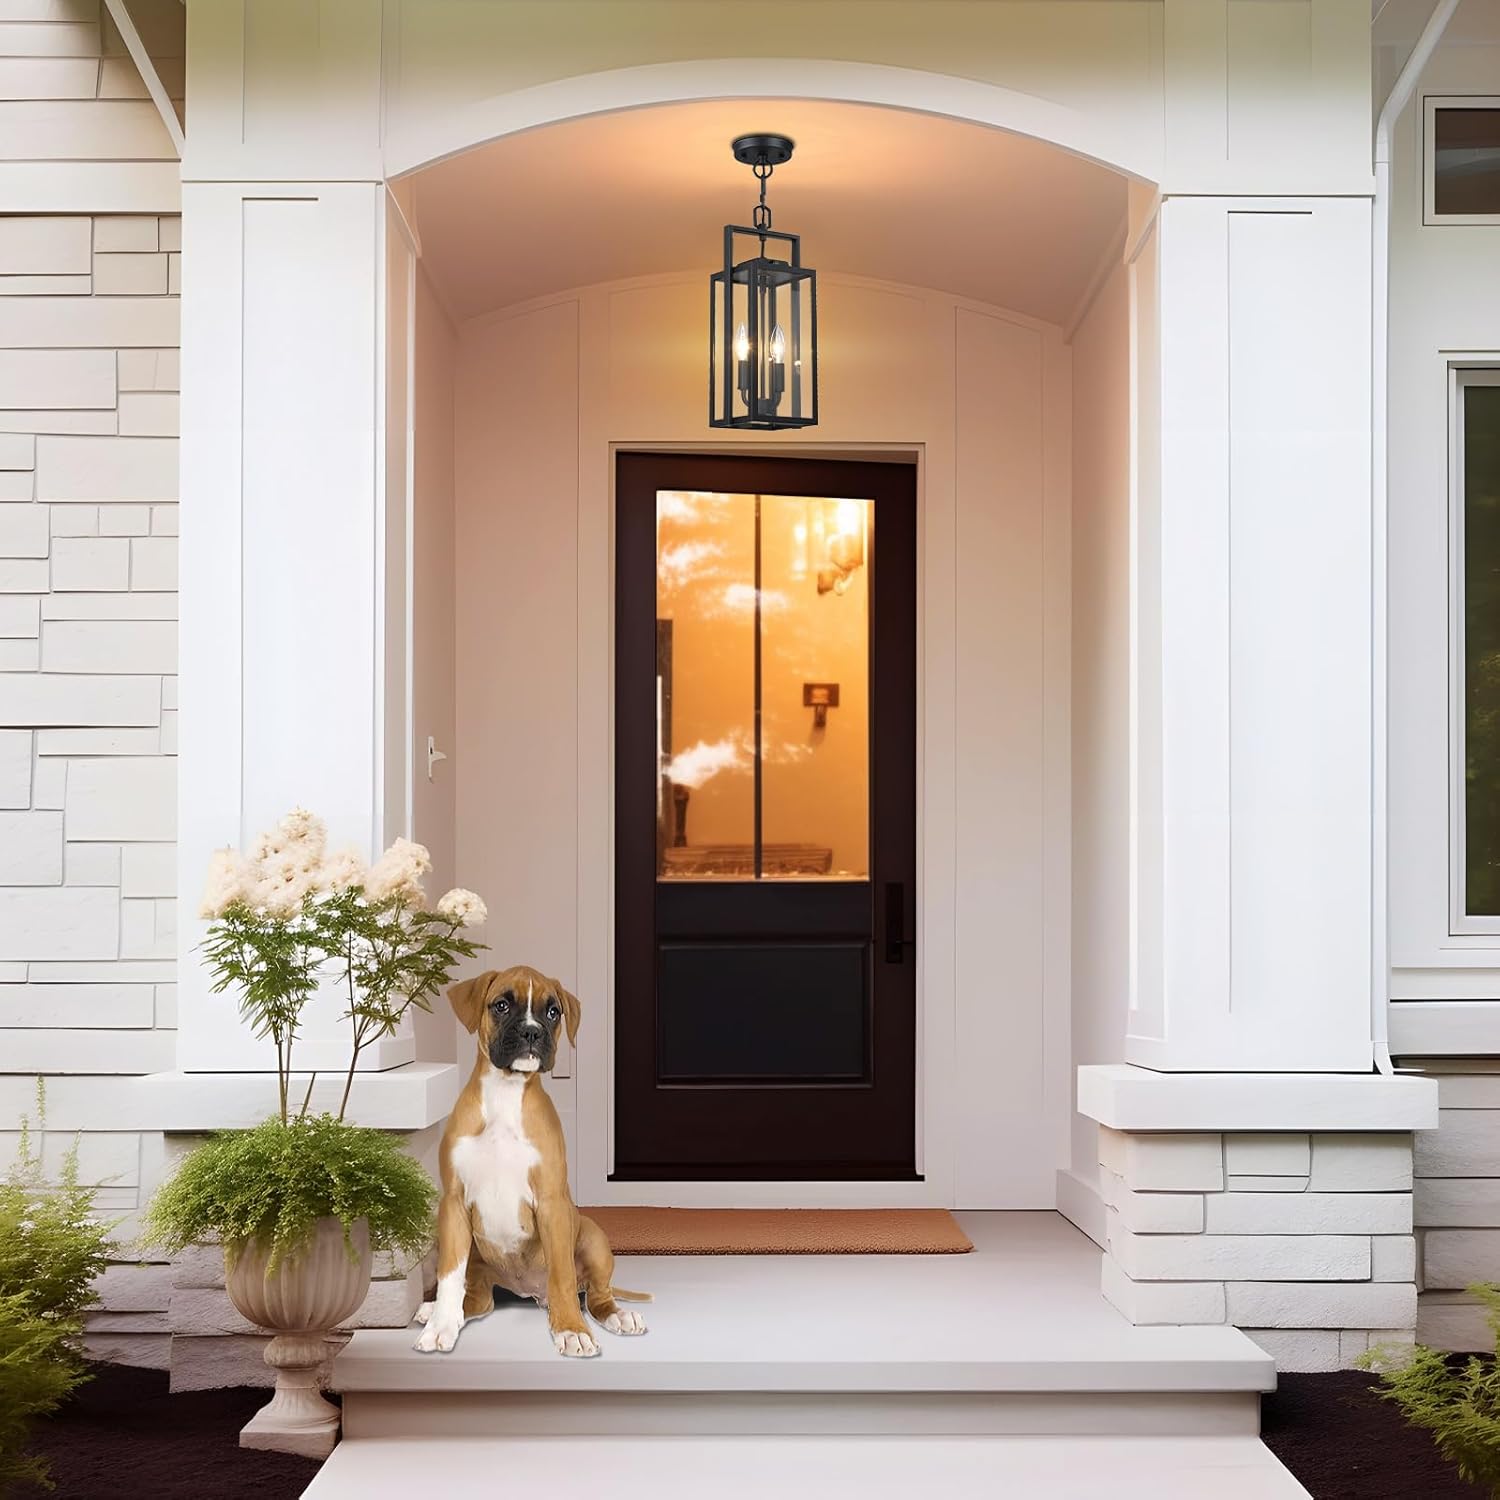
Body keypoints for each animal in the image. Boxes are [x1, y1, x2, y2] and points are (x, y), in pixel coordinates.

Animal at [413, 965, 649, 1357]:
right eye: (501, 1005)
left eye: (553, 1012)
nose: (531, 1031)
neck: (505, 1094)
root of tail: (528, 1290)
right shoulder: (454, 1205)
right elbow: (448, 1275)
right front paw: (441, 1325)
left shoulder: (552, 1203)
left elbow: (562, 1275)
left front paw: (571, 1329)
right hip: (477, 1262)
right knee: (477, 1300)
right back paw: (438, 1312)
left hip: (593, 1238)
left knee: (596, 1294)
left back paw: (617, 1316)